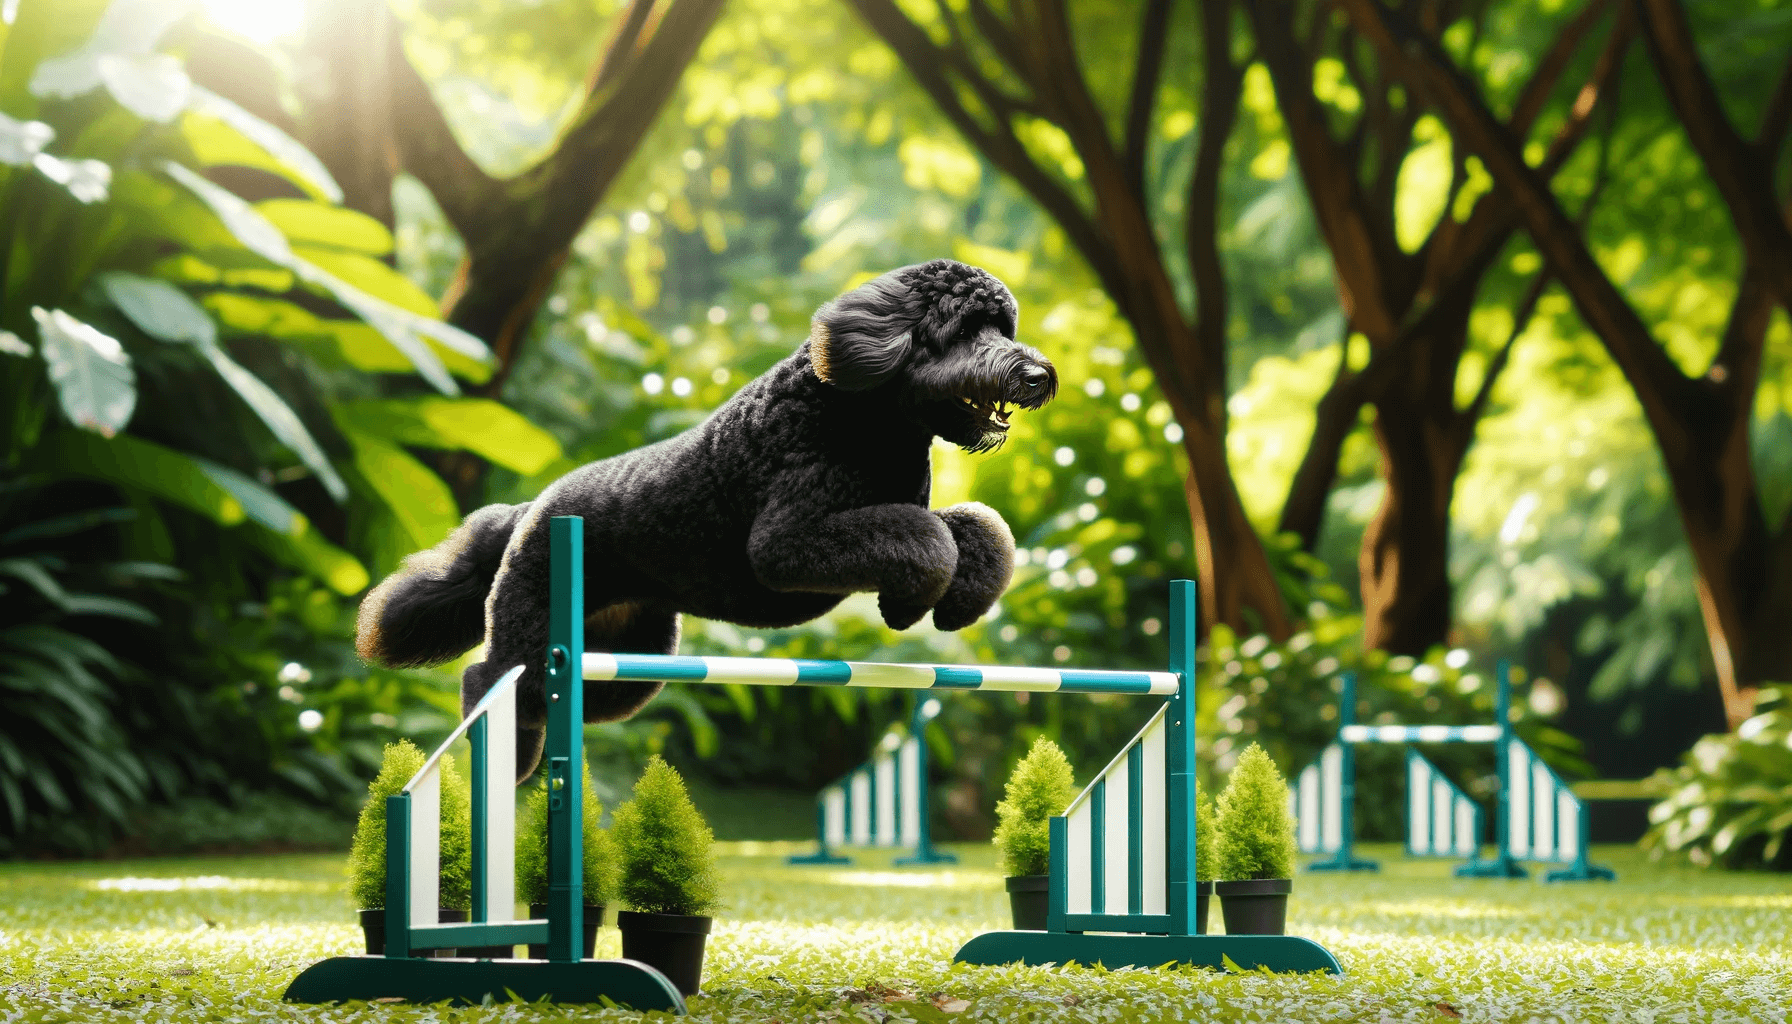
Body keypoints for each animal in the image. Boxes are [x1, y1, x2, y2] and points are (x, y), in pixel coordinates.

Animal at [356, 260, 1053, 781]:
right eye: (964, 331)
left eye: (1003, 325)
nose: (1038, 375)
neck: (859, 418)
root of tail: (532, 511)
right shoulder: (788, 544)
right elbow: (931, 539)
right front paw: (907, 606)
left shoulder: (897, 510)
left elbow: (979, 528)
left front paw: (954, 604)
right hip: (532, 635)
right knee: (487, 679)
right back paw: (503, 762)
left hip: (628, 664)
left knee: (566, 703)